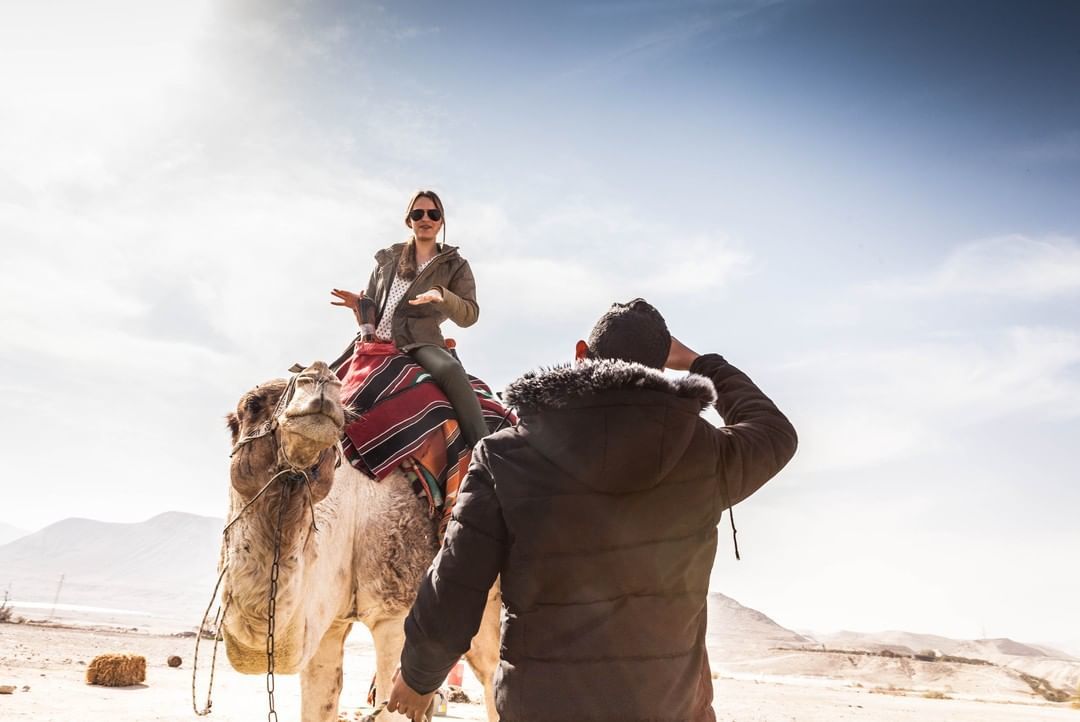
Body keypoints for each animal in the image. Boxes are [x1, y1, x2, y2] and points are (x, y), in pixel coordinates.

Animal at [220, 362, 505, 716]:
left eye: (343, 411)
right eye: (252, 405)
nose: (319, 378)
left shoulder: (396, 612)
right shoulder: (327, 623)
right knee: (487, 665)